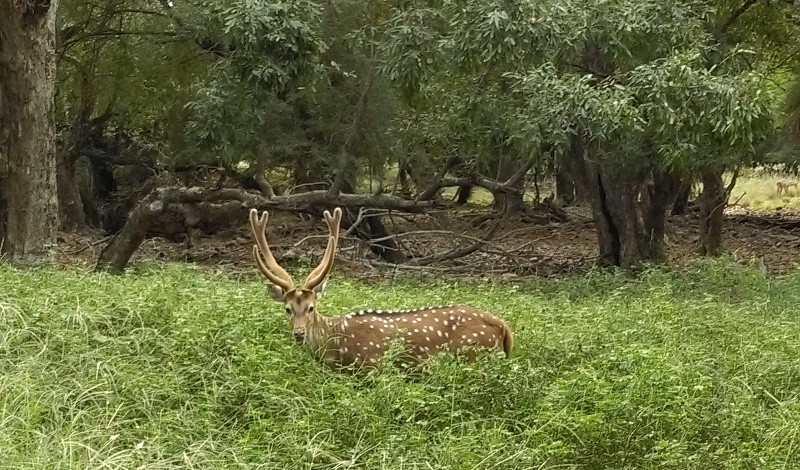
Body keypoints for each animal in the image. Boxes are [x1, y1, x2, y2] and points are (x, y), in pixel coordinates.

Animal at [248, 207, 513, 369]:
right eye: (287, 309)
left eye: (312, 307)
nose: (299, 333)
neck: (337, 344)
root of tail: (503, 326)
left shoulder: (373, 363)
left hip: (474, 354)